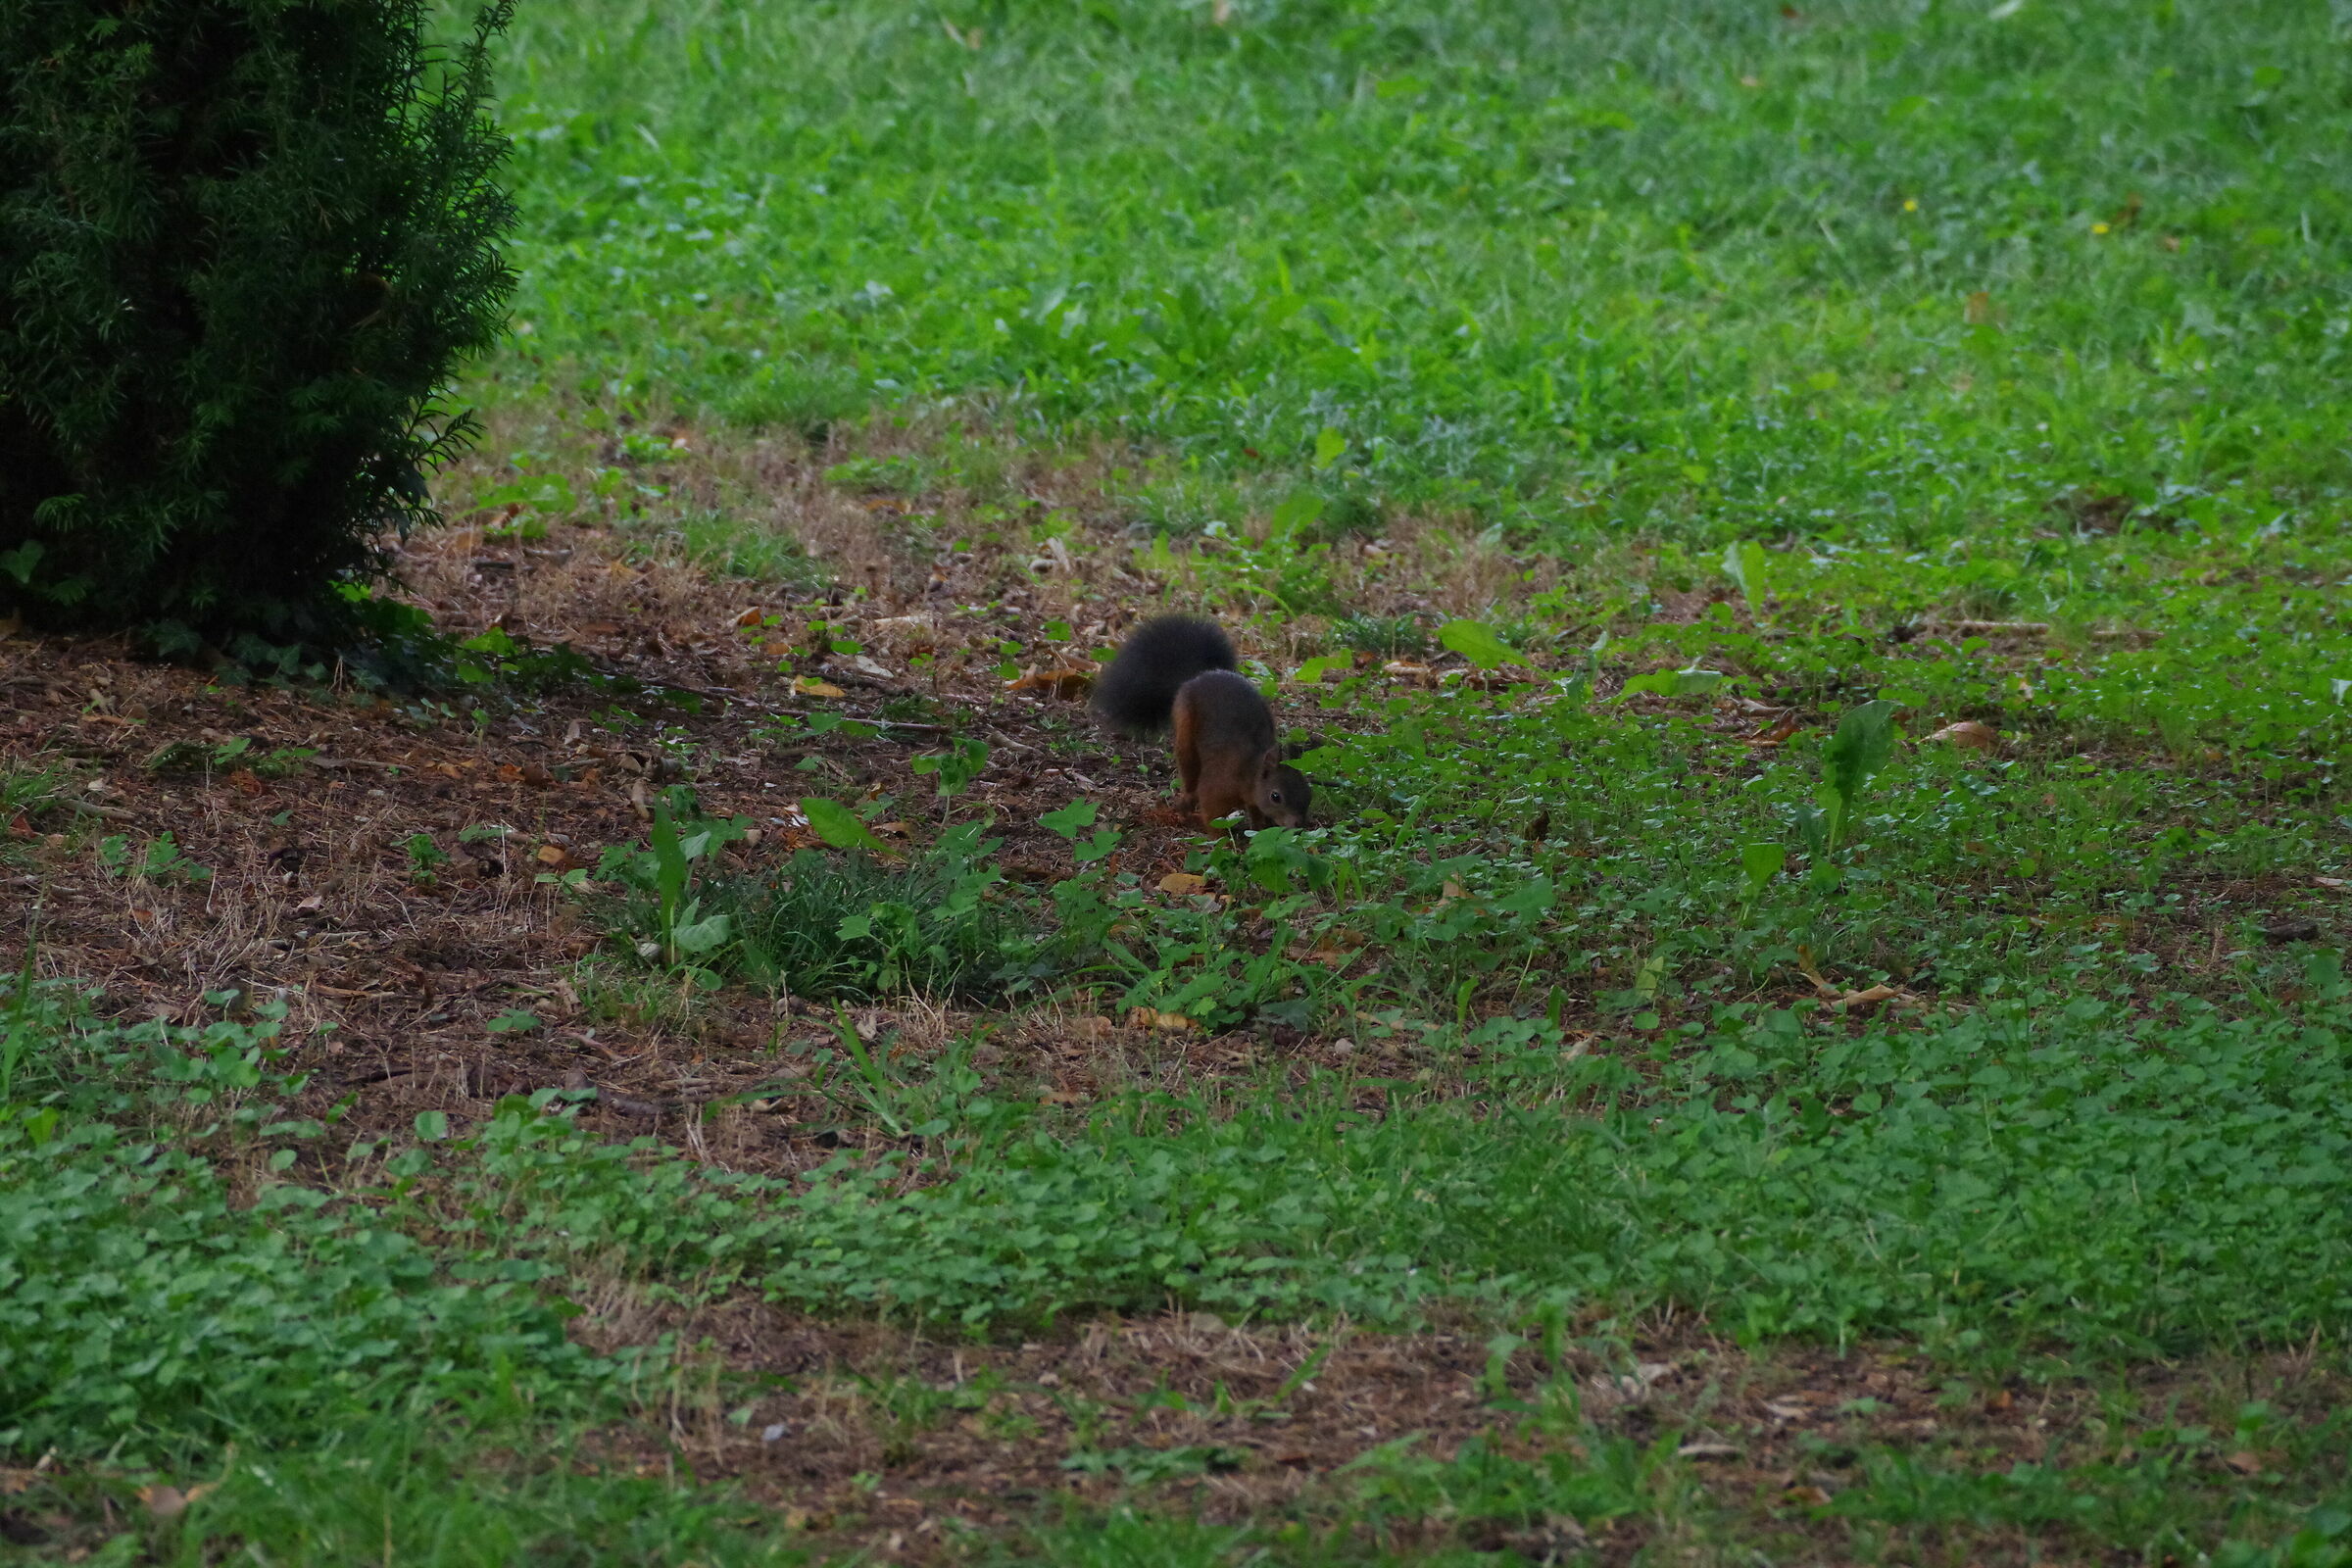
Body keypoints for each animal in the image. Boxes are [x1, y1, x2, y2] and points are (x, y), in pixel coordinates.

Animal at [1091, 615, 1313, 831]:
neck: (1250, 771)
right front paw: (1221, 837)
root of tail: (1199, 675)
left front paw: (1258, 828)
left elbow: (1256, 812)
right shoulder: (1218, 785)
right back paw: (1185, 807)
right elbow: (1213, 815)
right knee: (1190, 778)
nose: (1299, 824)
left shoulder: (1253, 800)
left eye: (1308, 791)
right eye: (1276, 796)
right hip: (1185, 731)